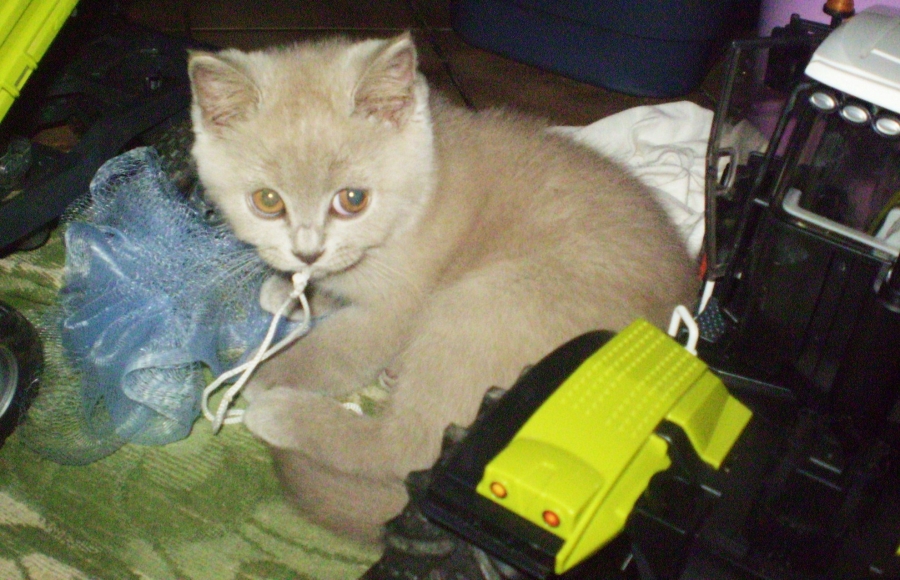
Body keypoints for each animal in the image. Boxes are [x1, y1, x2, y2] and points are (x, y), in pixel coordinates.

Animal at [187, 32, 698, 544]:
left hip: (484, 300)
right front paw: (292, 290)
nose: (306, 252)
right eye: (267, 201)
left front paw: (269, 372)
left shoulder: (398, 308)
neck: (423, 189)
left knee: (405, 445)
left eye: (353, 199)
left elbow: (337, 349)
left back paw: (282, 413)